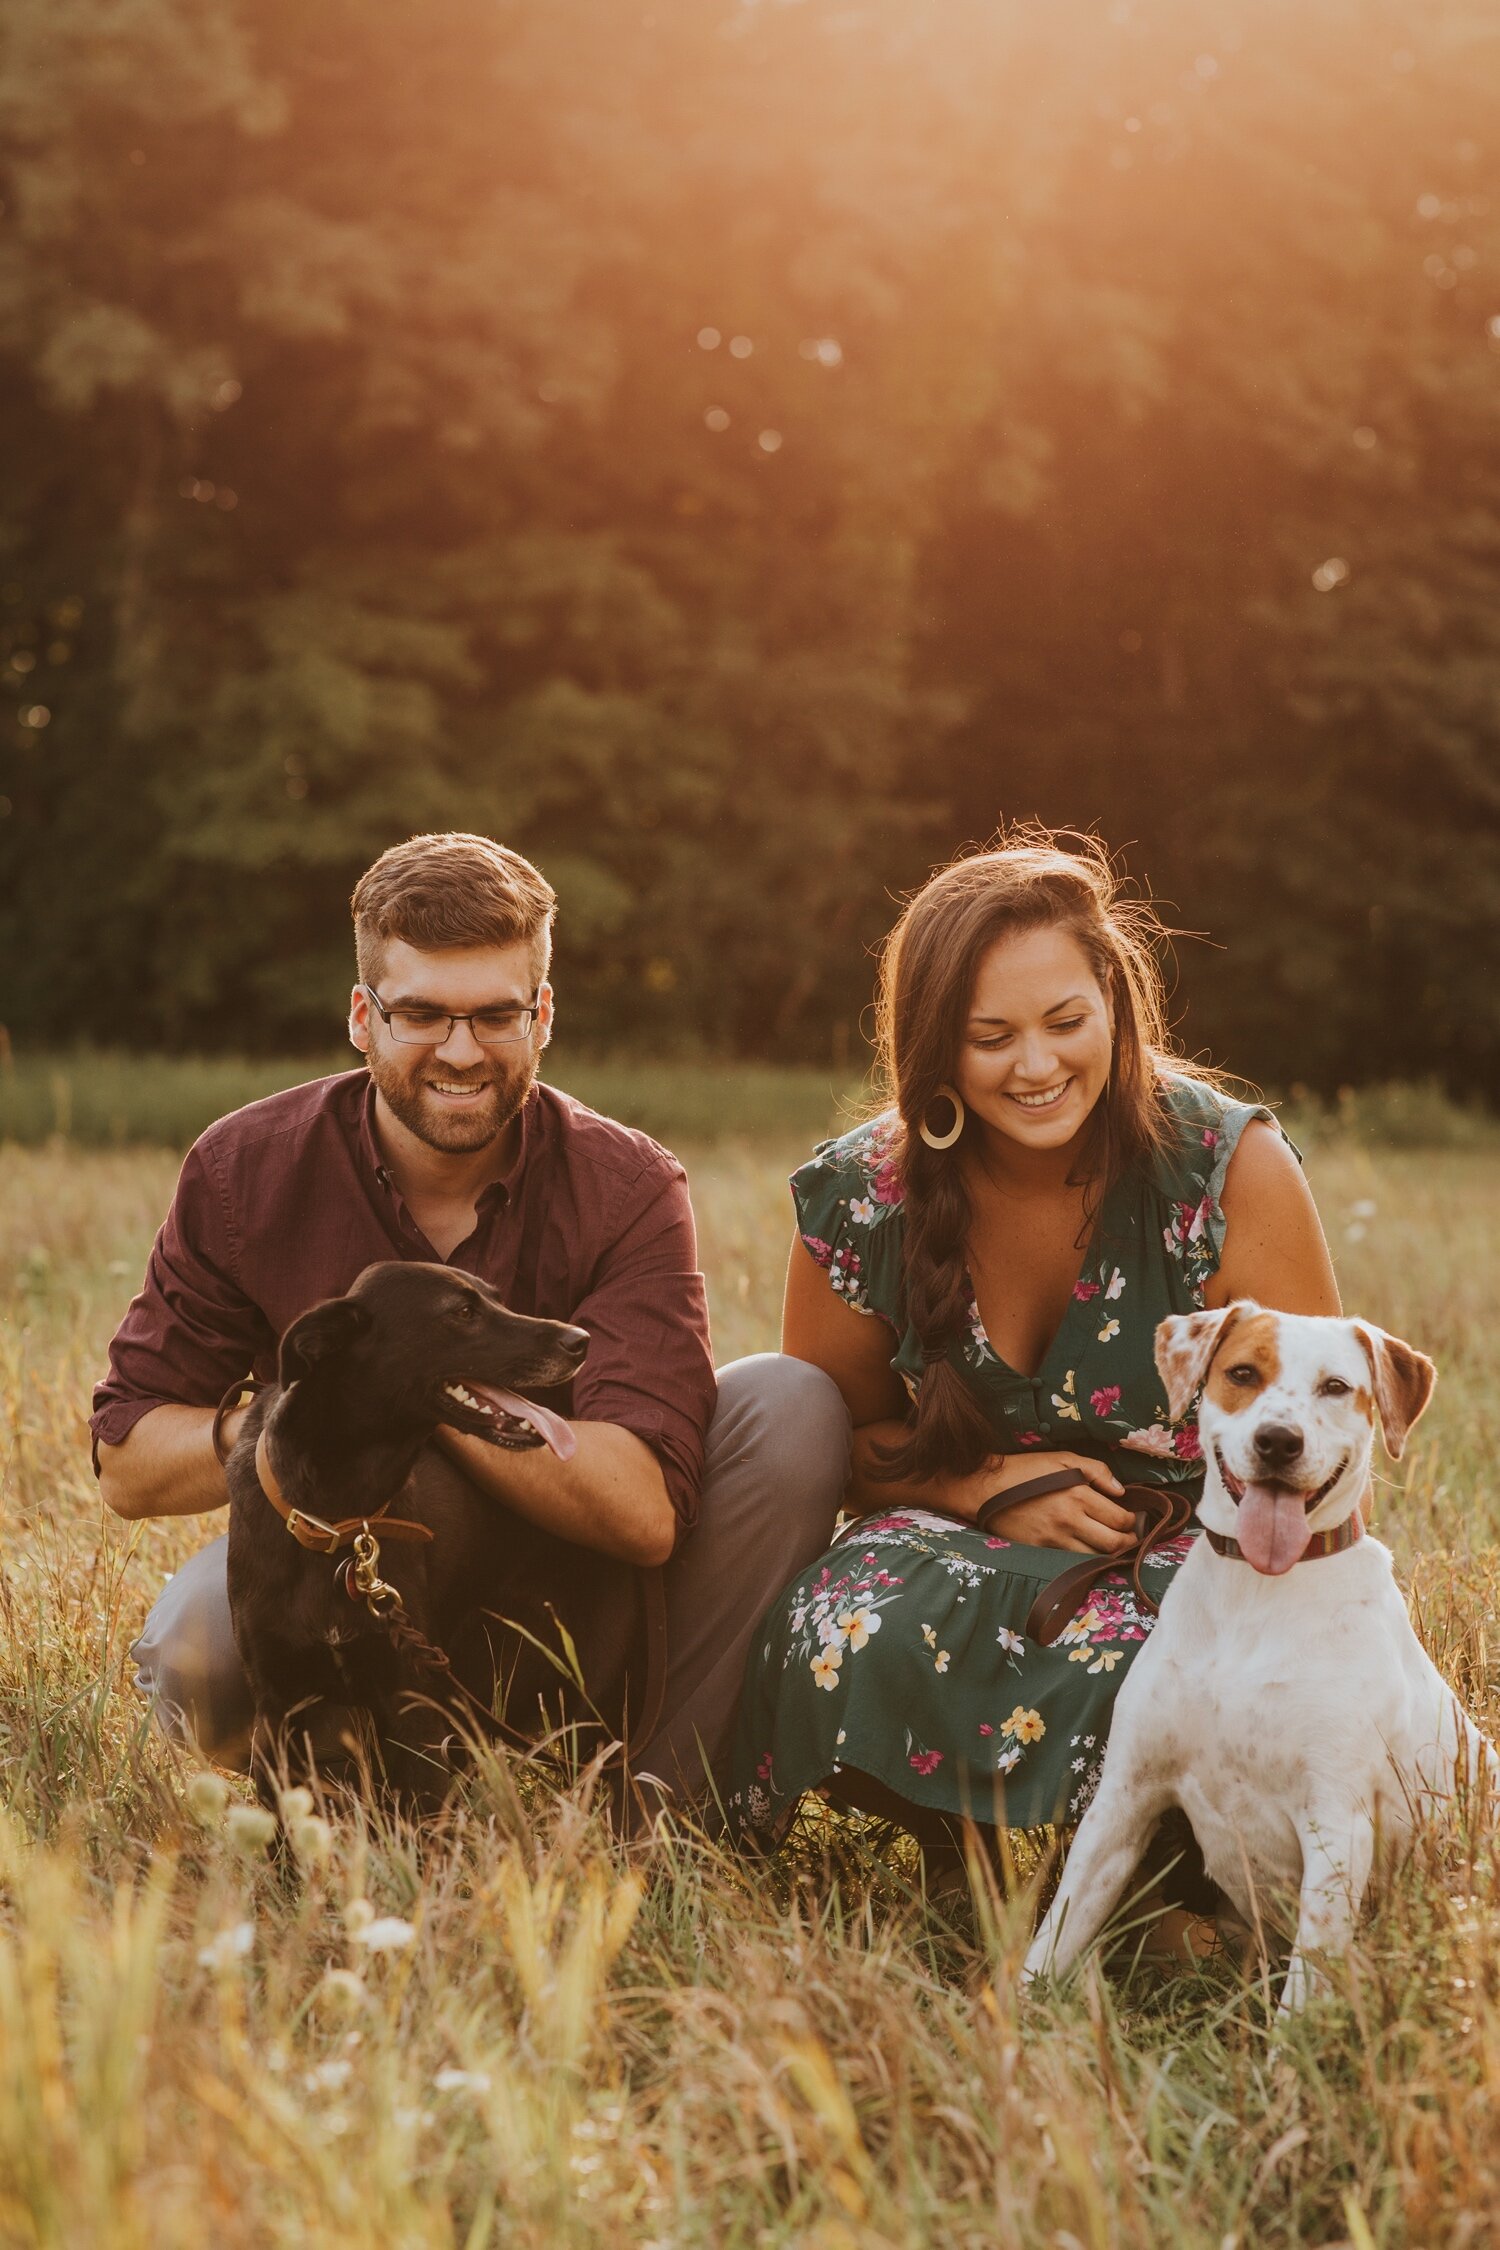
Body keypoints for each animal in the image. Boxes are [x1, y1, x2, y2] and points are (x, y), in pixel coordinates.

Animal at [1025, 1305, 1493, 2025]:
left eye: (1336, 1386)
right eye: (1243, 1373)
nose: (1278, 1441)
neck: (1258, 1591)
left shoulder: (1336, 1826)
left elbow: (1303, 1996)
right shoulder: (1123, 1802)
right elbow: (1051, 1941)